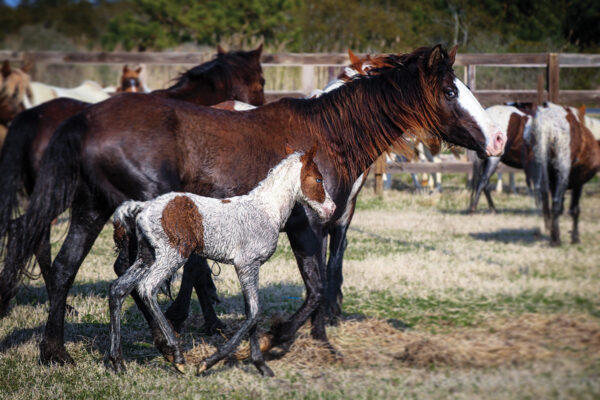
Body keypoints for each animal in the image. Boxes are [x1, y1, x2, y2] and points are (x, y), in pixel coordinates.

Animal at [109, 144, 336, 376]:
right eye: (319, 179)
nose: (332, 208)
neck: (265, 210)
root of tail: (143, 207)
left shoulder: (250, 268)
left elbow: (251, 313)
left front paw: (260, 365)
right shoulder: (247, 265)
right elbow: (254, 313)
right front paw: (208, 362)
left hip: (147, 256)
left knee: (119, 289)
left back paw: (117, 361)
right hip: (173, 255)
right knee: (147, 288)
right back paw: (177, 355)